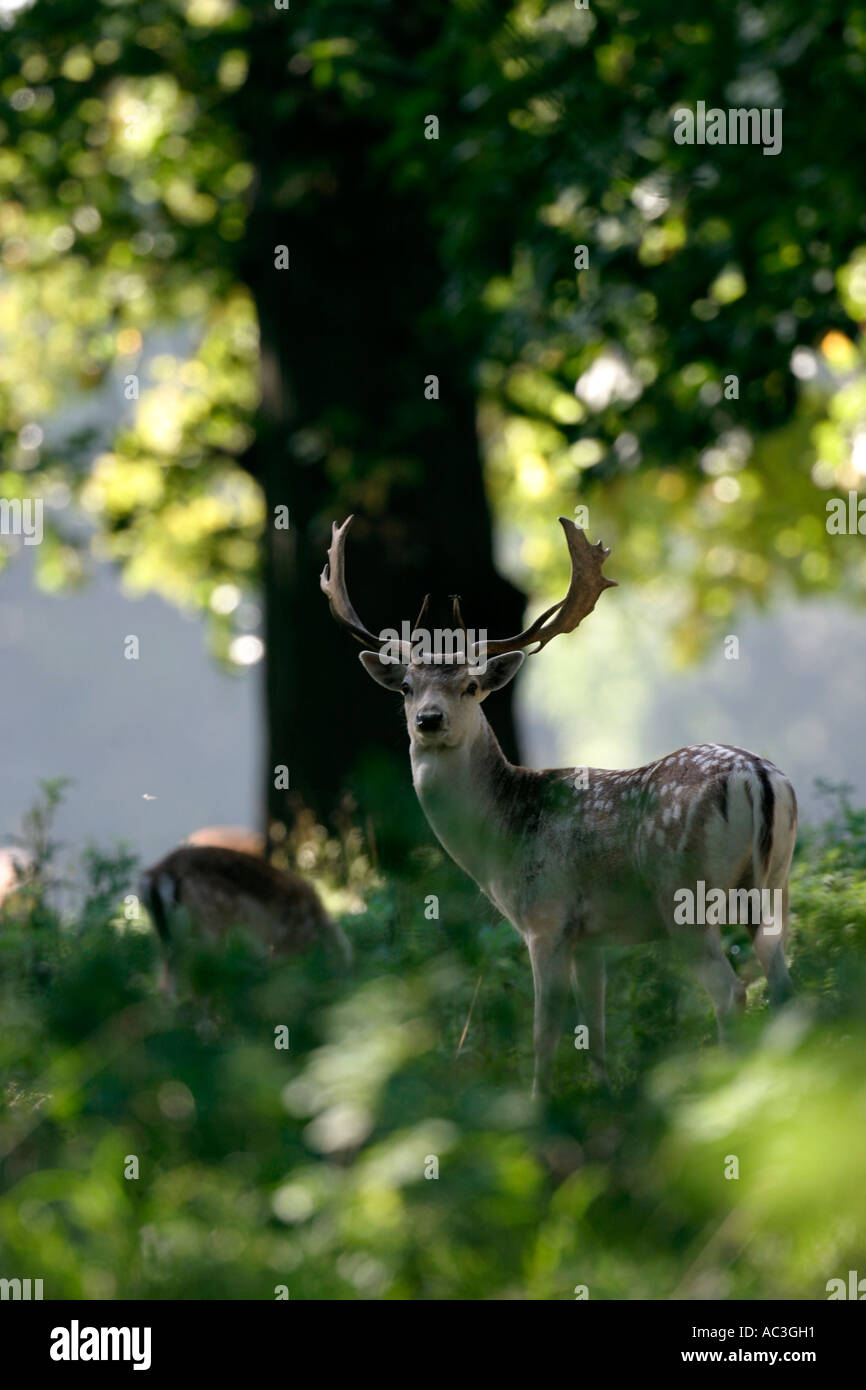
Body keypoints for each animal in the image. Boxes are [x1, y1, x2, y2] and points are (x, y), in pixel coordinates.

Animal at [140, 839, 350, 995]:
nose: (342, 985)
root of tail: (156, 877)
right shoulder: (281, 945)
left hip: (167, 932)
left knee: (166, 979)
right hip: (210, 924)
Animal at [323, 517, 800, 1089]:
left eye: (471, 685)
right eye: (407, 687)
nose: (429, 720)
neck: (498, 845)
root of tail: (757, 777)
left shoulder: (545, 918)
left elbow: (545, 1031)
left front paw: (540, 1103)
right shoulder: (590, 937)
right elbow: (595, 1025)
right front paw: (603, 1093)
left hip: (684, 895)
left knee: (731, 991)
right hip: (774, 883)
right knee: (785, 984)